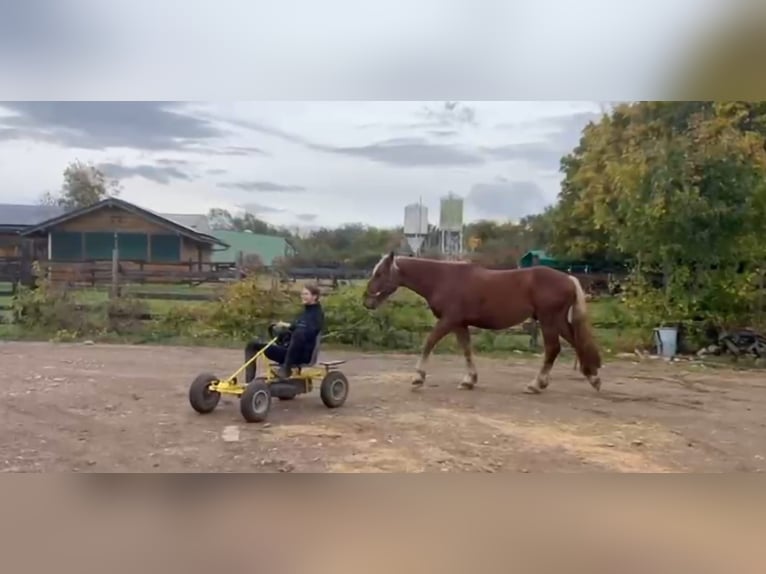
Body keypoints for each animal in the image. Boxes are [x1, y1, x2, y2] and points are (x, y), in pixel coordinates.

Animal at [362, 253, 603, 394]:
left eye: (380, 273)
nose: (366, 301)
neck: (442, 279)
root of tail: (568, 278)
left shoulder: (448, 320)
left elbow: (428, 342)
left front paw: (418, 378)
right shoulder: (460, 324)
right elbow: (467, 349)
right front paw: (469, 380)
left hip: (548, 320)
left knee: (553, 349)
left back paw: (536, 384)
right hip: (558, 321)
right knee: (575, 344)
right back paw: (593, 378)